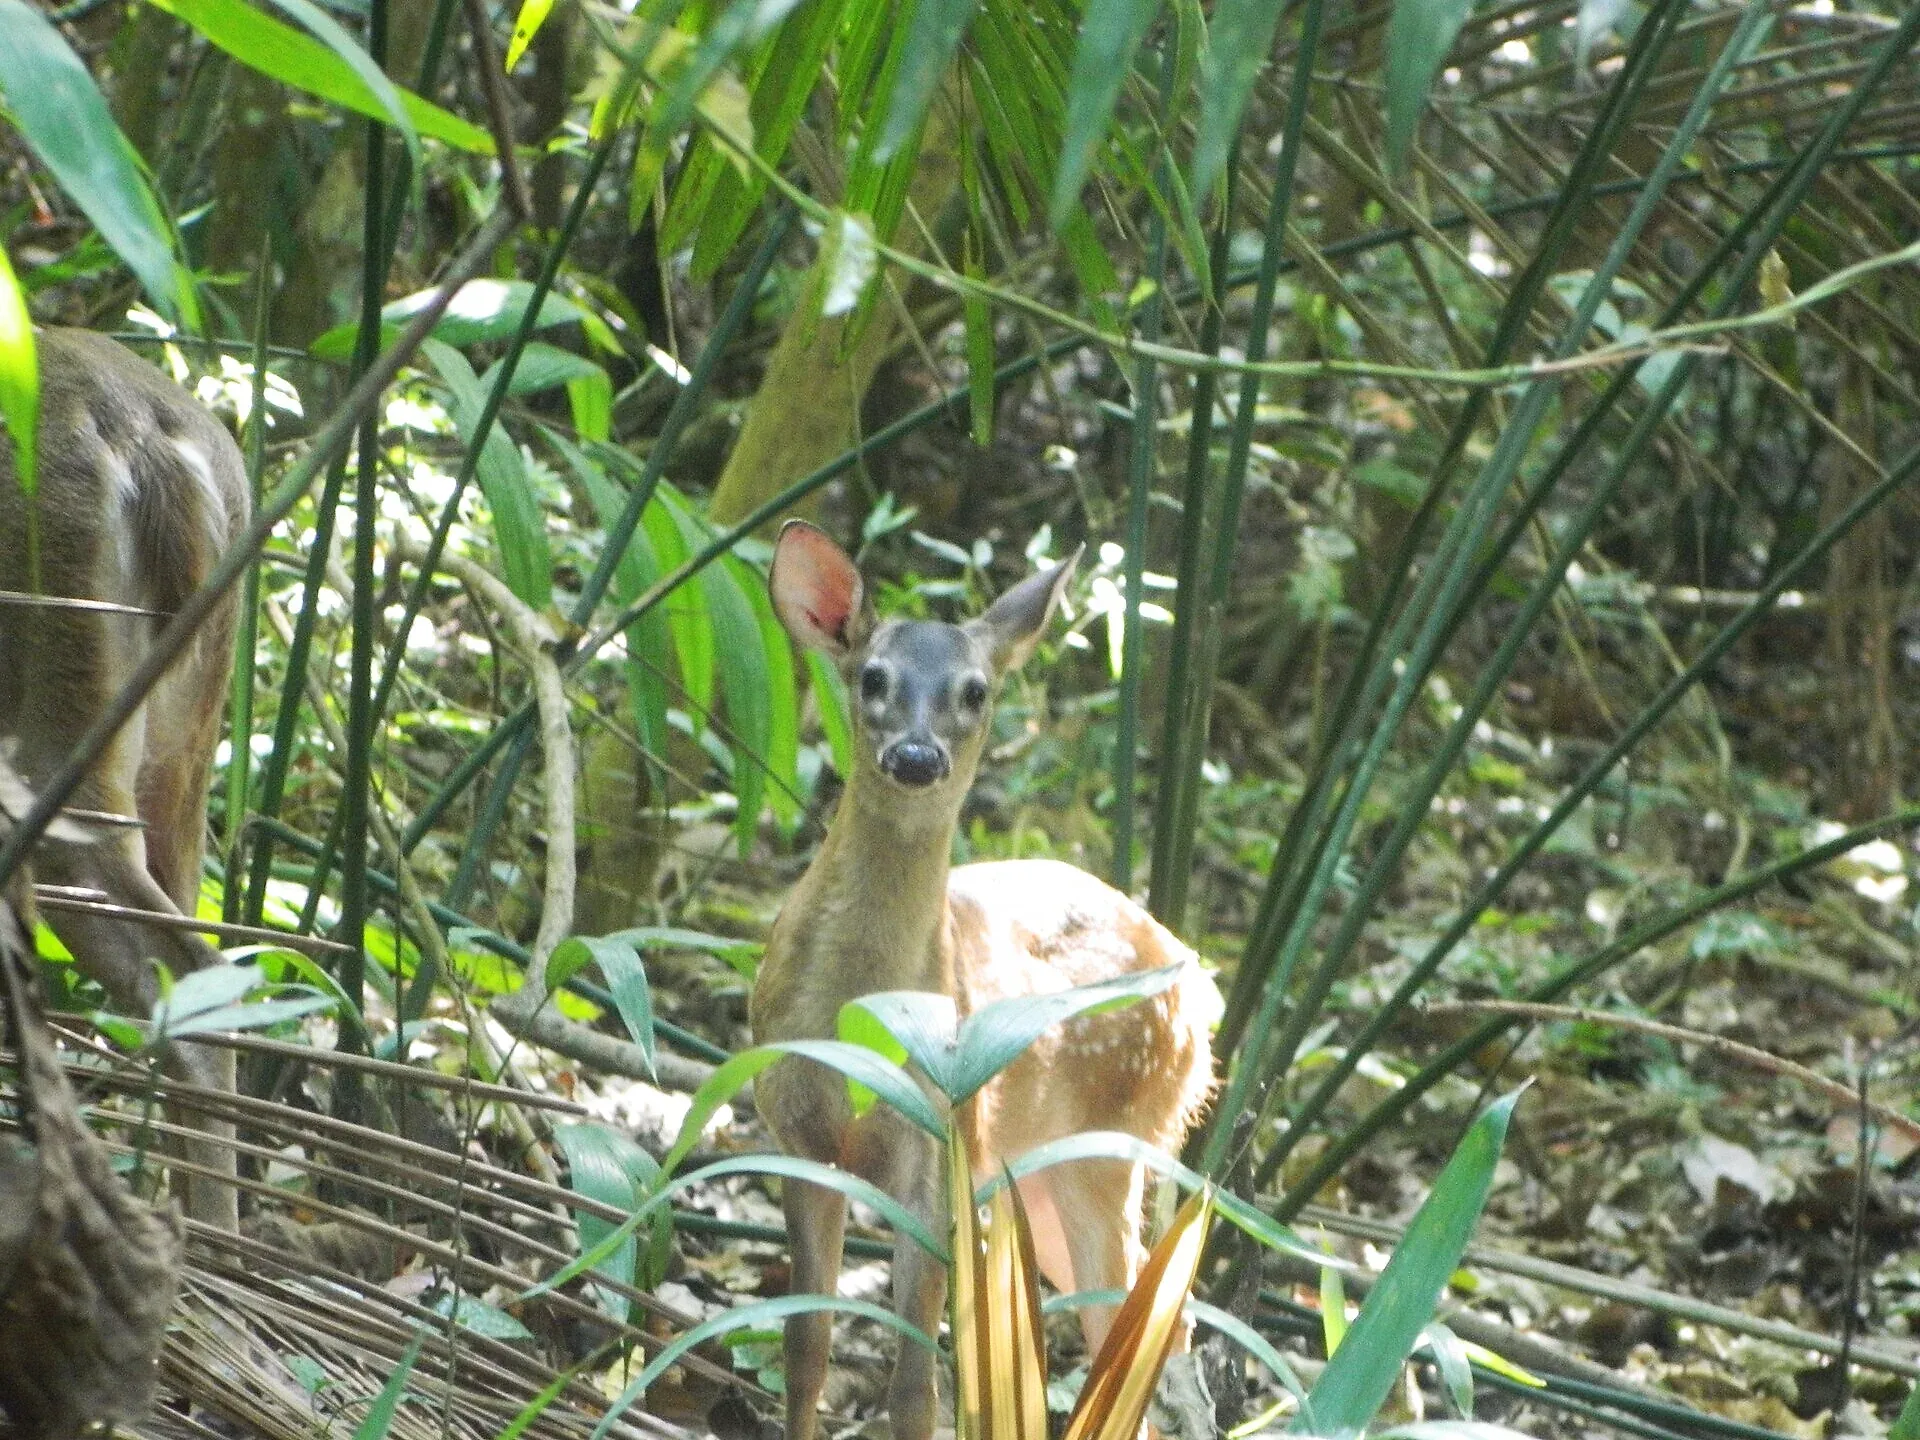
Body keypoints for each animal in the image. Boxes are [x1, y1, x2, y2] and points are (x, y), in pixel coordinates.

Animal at [753, 520, 1222, 1440]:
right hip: (1034, 1171)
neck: (853, 1013)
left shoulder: (940, 1144)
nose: (915, 754)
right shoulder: (795, 1133)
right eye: (872, 676)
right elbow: (806, 1345)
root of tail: (1202, 988)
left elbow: (915, 1386)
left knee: (1139, 1318)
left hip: (1116, 1139)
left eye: (974, 691)